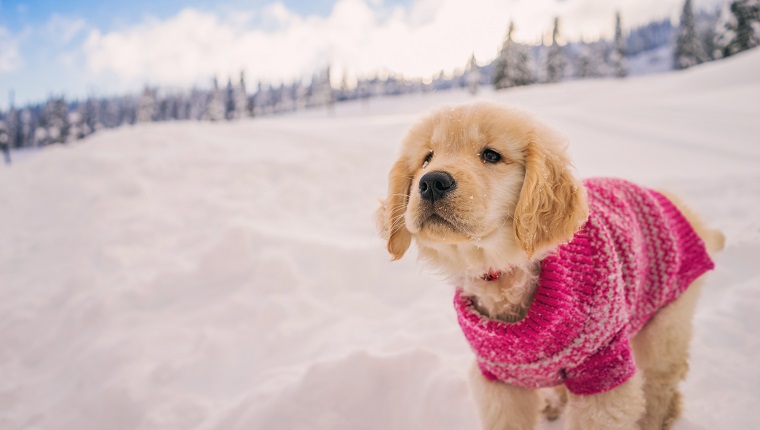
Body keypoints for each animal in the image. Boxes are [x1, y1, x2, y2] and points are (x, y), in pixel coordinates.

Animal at [378, 102, 720, 428]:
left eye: (491, 155)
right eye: (427, 158)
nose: (432, 182)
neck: (504, 272)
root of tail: (672, 201)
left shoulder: (603, 370)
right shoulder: (500, 381)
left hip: (665, 324)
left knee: (660, 386)